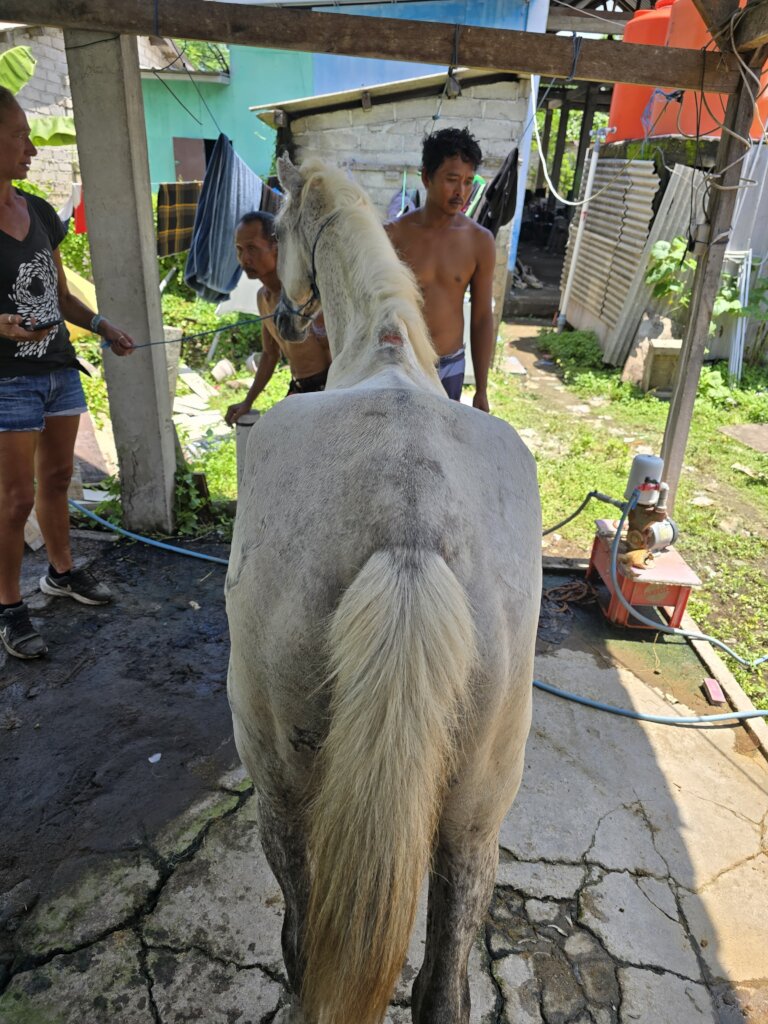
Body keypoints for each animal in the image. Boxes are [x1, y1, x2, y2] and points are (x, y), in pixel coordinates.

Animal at [225, 154, 542, 1024]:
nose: (285, 318)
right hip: (476, 814)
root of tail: (410, 521)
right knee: (445, 986)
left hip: (281, 781)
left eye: (280, 231)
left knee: (304, 941)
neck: (386, 350)